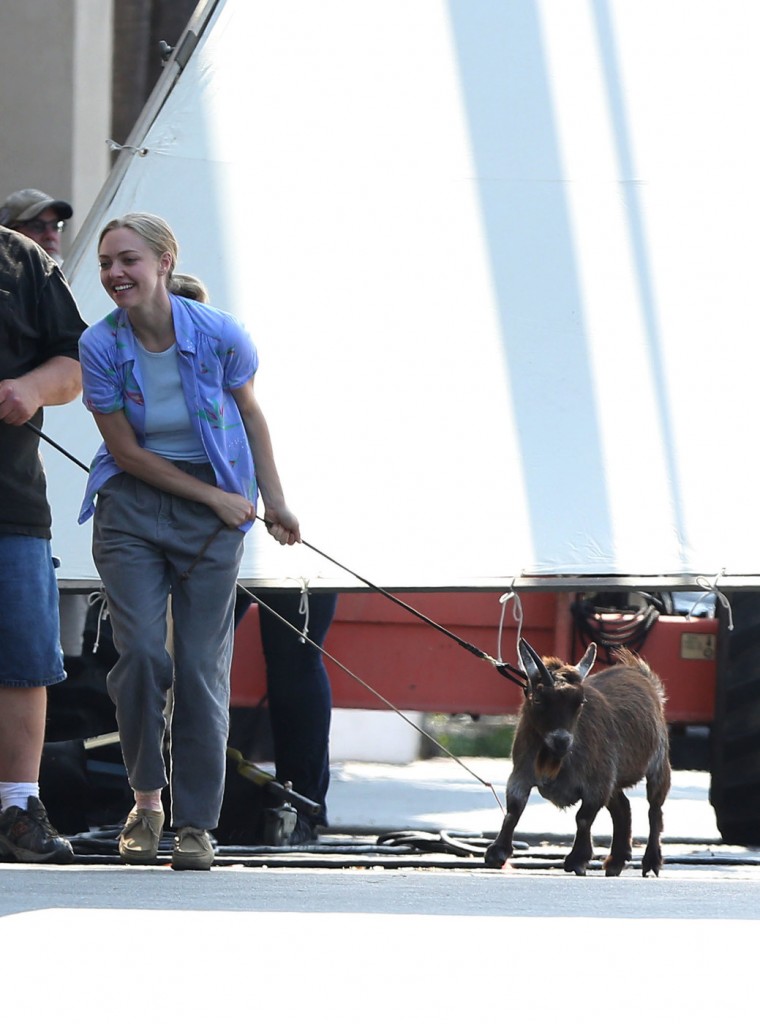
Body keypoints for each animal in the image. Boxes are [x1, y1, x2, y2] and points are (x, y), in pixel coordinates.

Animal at [487, 634, 671, 876]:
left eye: (580, 701)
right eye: (538, 699)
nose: (562, 740)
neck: (554, 758)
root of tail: (640, 673)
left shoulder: (597, 784)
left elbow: (583, 818)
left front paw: (577, 859)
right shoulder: (520, 775)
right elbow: (513, 810)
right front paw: (497, 852)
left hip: (659, 763)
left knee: (654, 809)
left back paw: (651, 861)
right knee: (623, 807)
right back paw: (616, 861)